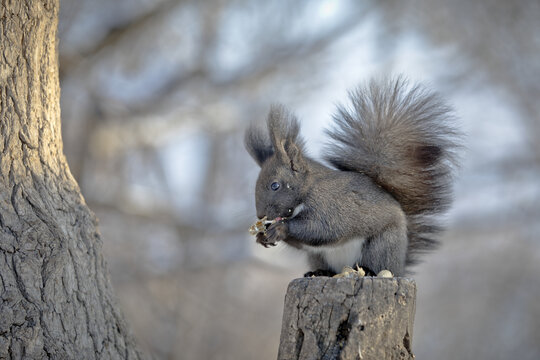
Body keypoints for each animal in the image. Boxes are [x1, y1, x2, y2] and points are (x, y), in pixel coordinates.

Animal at [245, 77, 460, 278]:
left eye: (275, 185)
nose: (261, 216)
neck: (308, 188)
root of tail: (400, 267)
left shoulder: (331, 206)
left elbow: (321, 229)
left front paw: (280, 229)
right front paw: (261, 237)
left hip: (382, 244)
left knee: (378, 263)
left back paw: (370, 271)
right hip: (318, 256)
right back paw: (320, 272)